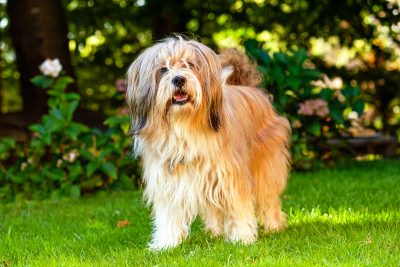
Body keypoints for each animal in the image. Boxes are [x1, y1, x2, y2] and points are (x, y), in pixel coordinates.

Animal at [126, 36, 290, 251]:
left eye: (190, 65)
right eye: (163, 69)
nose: (179, 79)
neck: (185, 126)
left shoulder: (231, 176)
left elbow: (238, 207)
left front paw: (240, 238)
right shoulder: (170, 179)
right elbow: (169, 214)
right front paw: (167, 243)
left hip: (266, 164)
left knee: (268, 198)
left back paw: (273, 226)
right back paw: (214, 231)